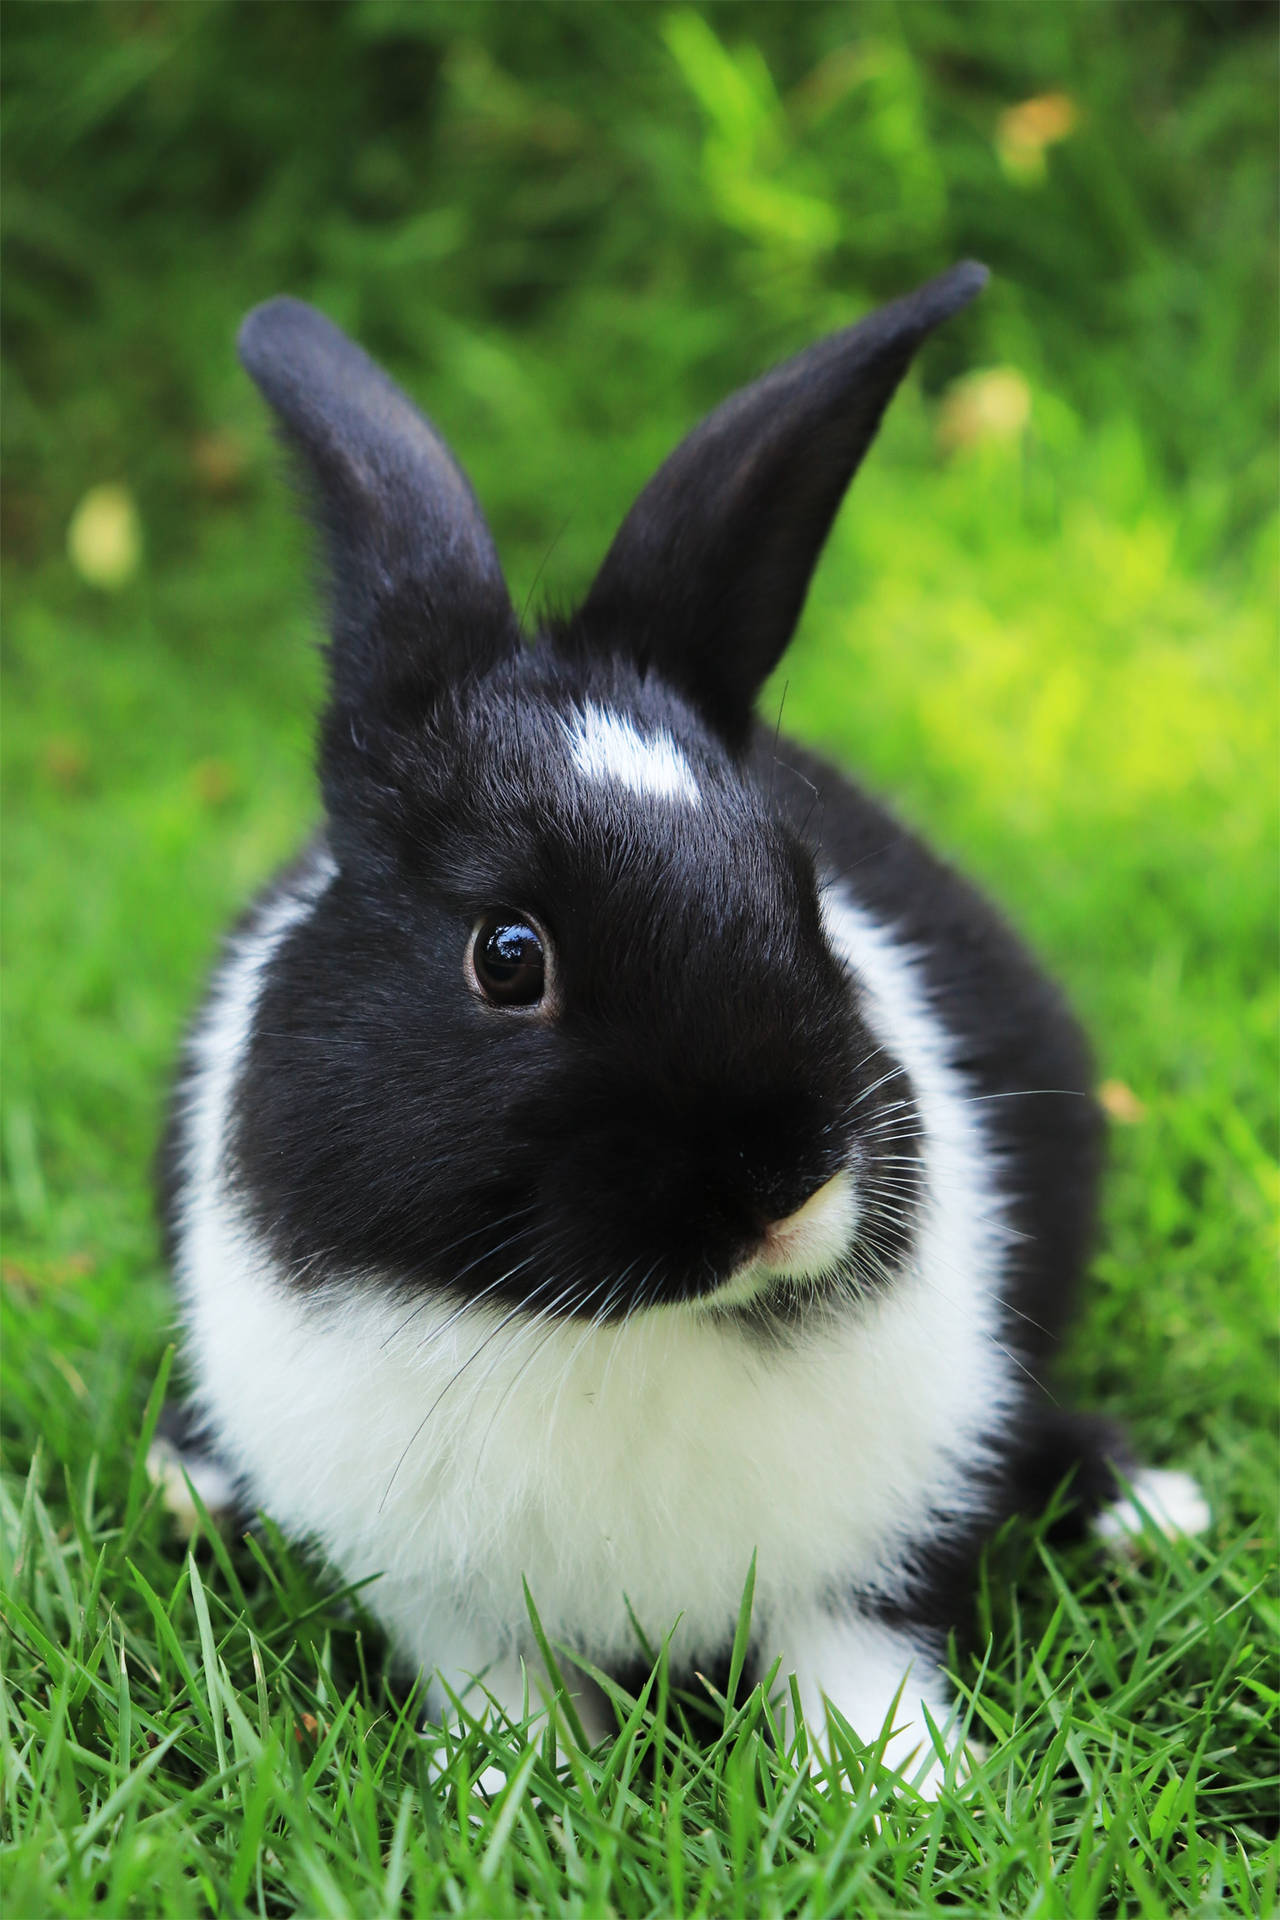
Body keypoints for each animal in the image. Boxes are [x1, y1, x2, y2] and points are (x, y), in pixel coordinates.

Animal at [152, 270, 1212, 1797]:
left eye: (801, 890)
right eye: (508, 956)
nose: (784, 1186)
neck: (615, 1326)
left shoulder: (873, 1546)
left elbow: (858, 1654)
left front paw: (894, 1794)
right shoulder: (446, 1602)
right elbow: (500, 1688)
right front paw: (515, 1795)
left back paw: (1151, 1508)